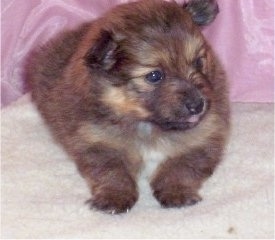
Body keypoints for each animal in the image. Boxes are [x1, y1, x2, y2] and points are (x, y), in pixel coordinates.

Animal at [27, 0, 231, 214]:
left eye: (199, 62)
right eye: (154, 76)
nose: (197, 105)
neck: (146, 125)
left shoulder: (203, 137)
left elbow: (181, 167)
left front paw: (177, 192)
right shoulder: (98, 142)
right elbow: (113, 172)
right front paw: (114, 197)